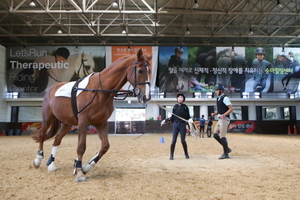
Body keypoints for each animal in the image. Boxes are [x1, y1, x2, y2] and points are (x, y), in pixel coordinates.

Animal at [32, 49, 152, 182]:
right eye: (140, 70)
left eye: (150, 71)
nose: (146, 96)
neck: (101, 90)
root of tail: (52, 88)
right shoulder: (83, 122)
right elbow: (81, 147)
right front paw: (79, 172)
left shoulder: (101, 123)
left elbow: (105, 146)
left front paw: (85, 167)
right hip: (48, 119)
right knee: (42, 135)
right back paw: (38, 160)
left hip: (66, 124)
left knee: (57, 140)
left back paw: (51, 165)